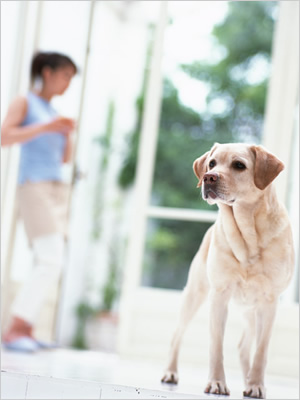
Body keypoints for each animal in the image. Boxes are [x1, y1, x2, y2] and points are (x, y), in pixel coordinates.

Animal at [161, 144, 294, 400]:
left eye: (239, 165)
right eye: (212, 163)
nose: (208, 177)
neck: (248, 232)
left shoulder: (269, 302)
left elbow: (261, 351)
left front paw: (256, 384)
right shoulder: (219, 297)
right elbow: (216, 346)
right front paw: (216, 383)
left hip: (251, 312)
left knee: (244, 347)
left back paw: (249, 379)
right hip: (195, 294)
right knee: (176, 335)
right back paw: (170, 372)